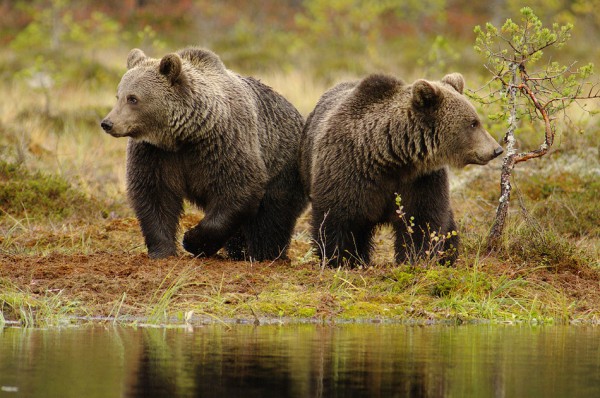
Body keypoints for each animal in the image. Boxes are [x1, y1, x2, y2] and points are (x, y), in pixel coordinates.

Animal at [101, 47, 308, 262]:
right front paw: (162, 251)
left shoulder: (223, 145)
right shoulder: (155, 153)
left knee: (272, 217)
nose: (107, 123)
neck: (183, 136)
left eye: (133, 98)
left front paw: (192, 240)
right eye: (118, 96)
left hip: (283, 165)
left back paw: (265, 254)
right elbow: (155, 195)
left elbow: (238, 189)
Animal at [302, 73, 504, 268]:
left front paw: (414, 258)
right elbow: (339, 218)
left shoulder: (421, 179)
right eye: (473, 123)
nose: (497, 149)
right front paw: (341, 259)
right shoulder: (349, 170)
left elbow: (422, 220)